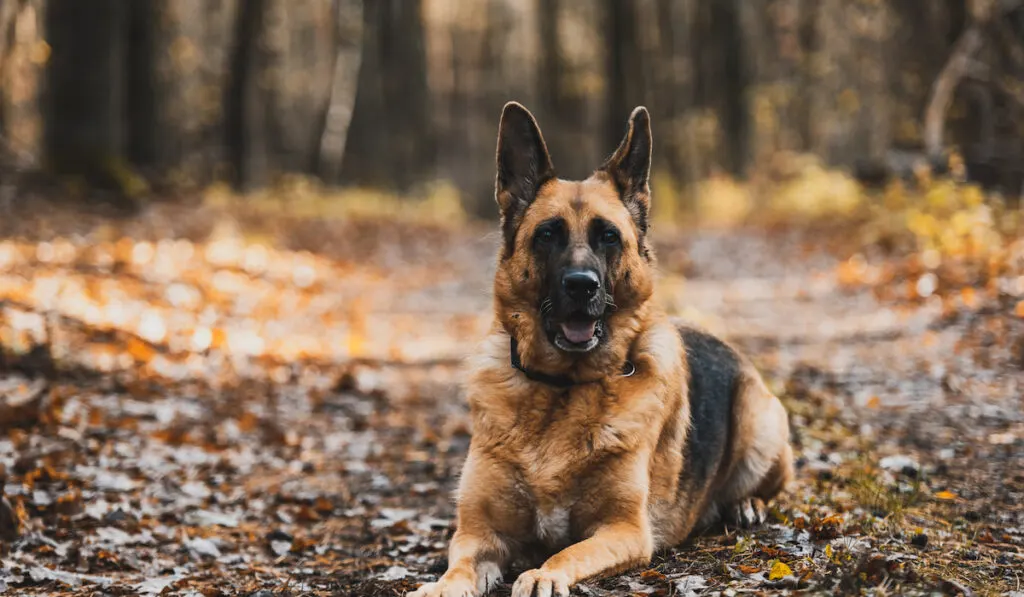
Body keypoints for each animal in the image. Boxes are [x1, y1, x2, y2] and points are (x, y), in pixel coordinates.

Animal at [411, 103, 794, 597]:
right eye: (547, 235)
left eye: (608, 236)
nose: (581, 286)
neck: (560, 390)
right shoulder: (477, 534)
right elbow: (458, 567)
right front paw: (442, 585)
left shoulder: (624, 530)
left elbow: (566, 552)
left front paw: (543, 574)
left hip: (760, 427)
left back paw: (747, 505)